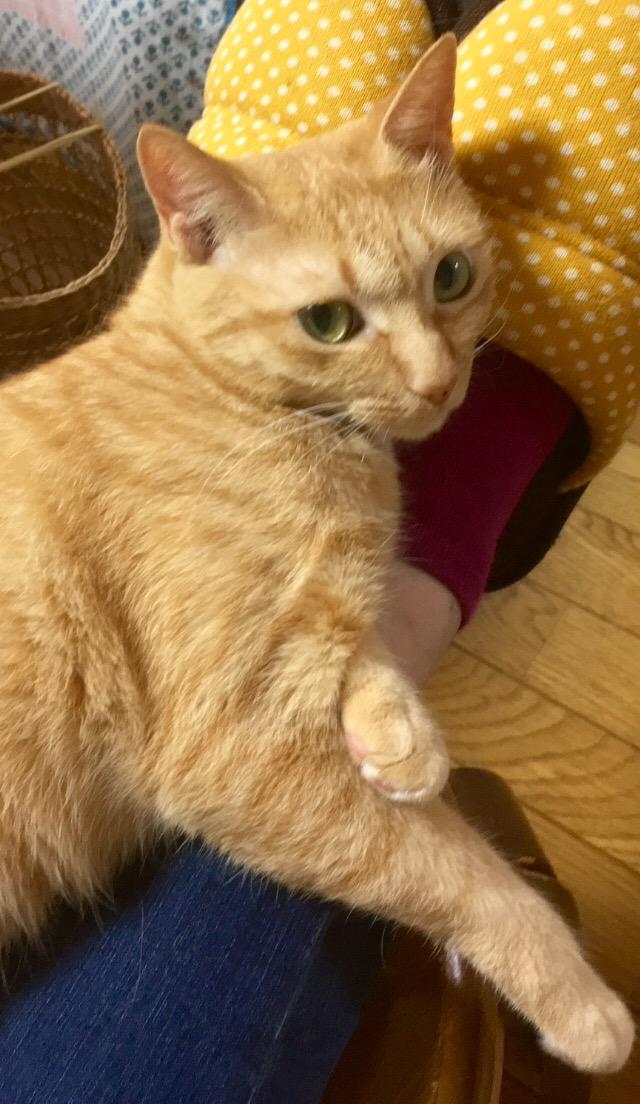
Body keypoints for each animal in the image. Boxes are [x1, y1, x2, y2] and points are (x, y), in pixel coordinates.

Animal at [0, 36, 633, 1073]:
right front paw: (582, 1004)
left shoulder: (306, 630)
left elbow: (358, 634)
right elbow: (458, 869)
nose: (438, 380)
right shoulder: (232, 750)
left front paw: (400, 732)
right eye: (329, 322)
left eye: (450, 275)